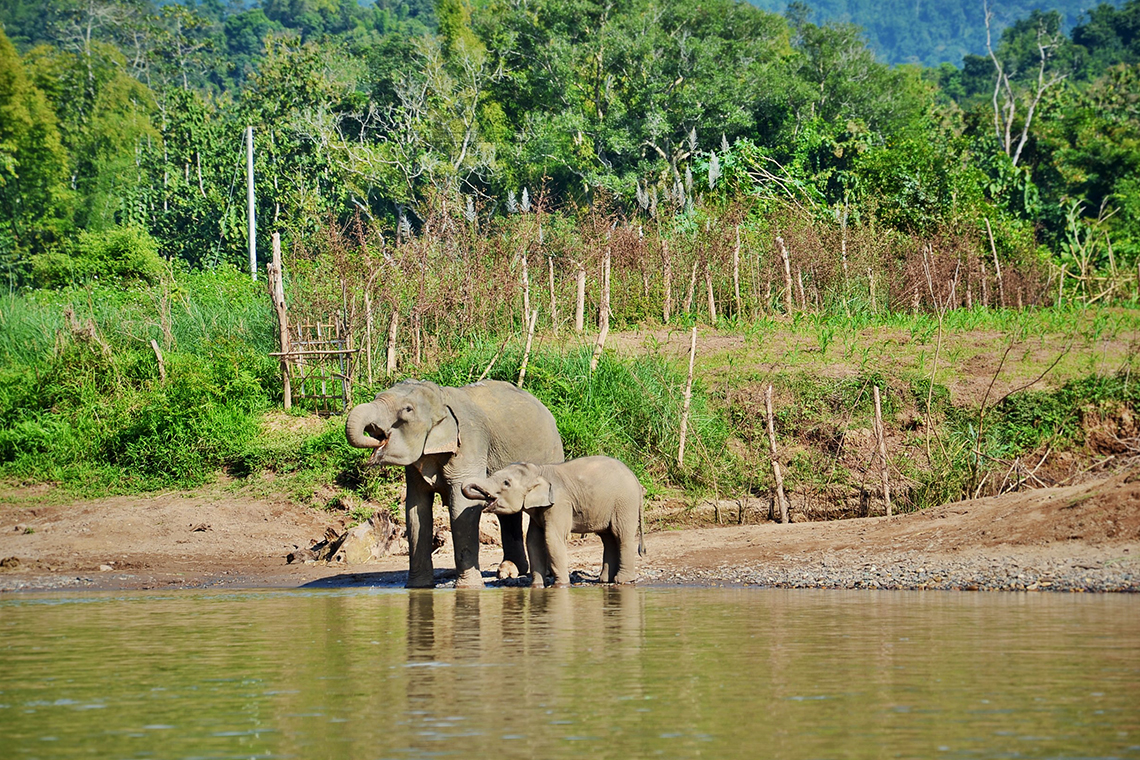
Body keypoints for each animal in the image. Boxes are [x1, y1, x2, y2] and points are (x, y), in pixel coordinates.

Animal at [345, 379, 564, 588]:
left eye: (407, 409)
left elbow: (463, 506)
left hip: (552, 454)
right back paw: (509, 571)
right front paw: (418, 587)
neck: (441, 398)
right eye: (376, 396)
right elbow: (416, 511)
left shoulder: (469, 442)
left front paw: (468, 588)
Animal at [462, 456, 645, 588]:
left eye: (506, 483)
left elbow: (552, 538)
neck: (539, 470)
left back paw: (623, 581)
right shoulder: (539, 509)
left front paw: (561, 586)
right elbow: (533, 541)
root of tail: (636, 479)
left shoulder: (559, 503)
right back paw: (605, 580)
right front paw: (536, 586)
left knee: (621, 535)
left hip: (625, 503)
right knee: (608, 538)